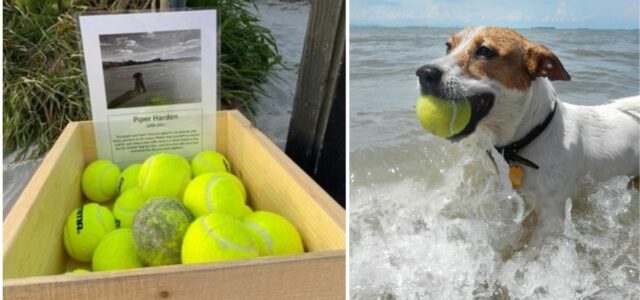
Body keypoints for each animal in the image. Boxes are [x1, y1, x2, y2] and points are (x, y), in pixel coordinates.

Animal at [416, 26, 640, 251]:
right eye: (448, 46)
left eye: (485, 51)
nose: (424, 73)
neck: (535, 134)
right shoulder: (527, 203)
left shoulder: (551, 217)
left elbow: (532, 250)